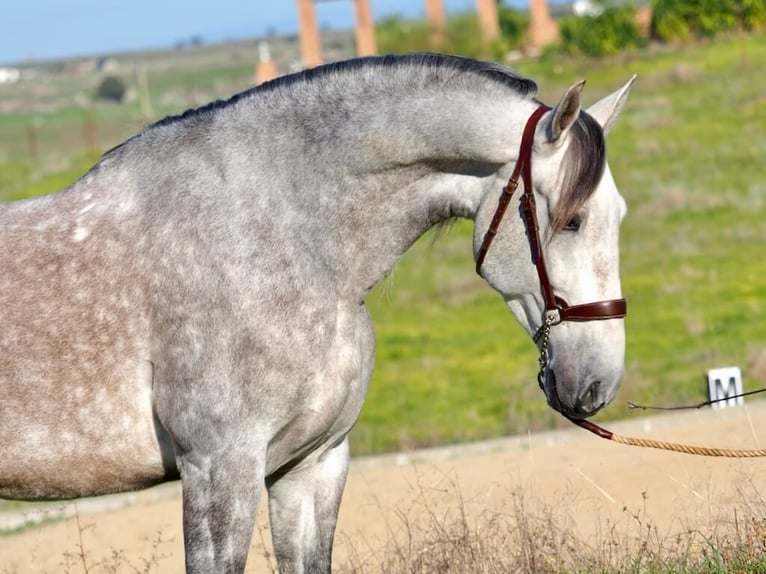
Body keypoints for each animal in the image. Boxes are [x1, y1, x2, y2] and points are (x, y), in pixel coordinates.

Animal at [0, 54, 634, 573]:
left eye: (618, 215)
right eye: (571, 221)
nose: (597, 382)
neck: (284, 239)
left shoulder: (312, 466)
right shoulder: (219, 472)